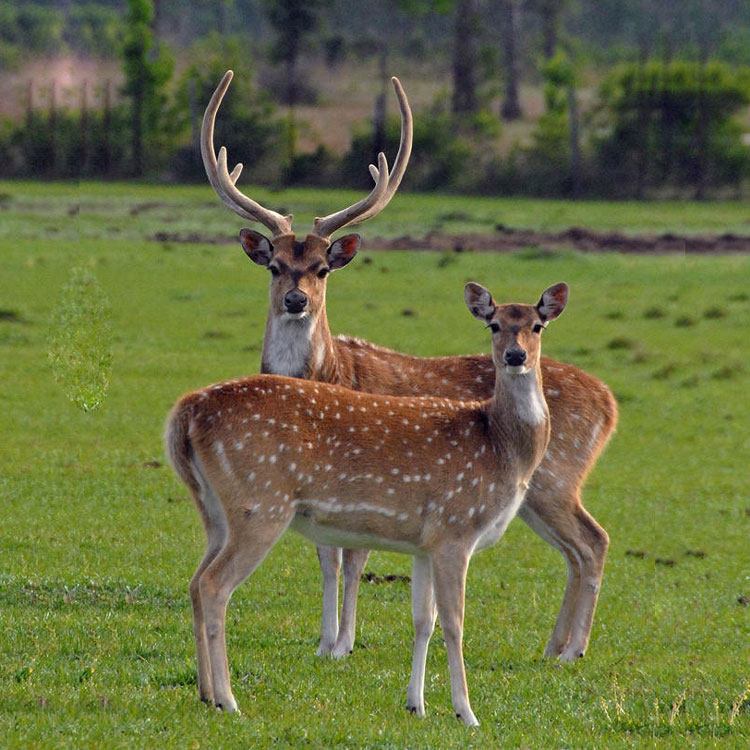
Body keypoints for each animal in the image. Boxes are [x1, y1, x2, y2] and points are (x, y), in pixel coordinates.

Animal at [167, 280, 572, 724]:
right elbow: (454, 623)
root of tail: (185, 411)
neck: (501, 448)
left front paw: (417, 704)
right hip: (260, 504)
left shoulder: (425, 544)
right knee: (214, 584)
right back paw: (228, 698)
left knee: (194, 582)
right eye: (494, 324)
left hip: (216, 511)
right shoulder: (456, 528)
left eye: (537, 326)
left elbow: (423, 621)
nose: (515, 356)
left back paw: (205, 693)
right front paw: (466, 713)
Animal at [201, 72, 616, 664]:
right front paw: (326, 640)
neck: (329, 373)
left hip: (557, 477)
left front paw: (343, 643)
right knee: (578, 547)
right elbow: (327, 553)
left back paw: (571, 650)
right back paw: (554, 647)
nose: (296, 300)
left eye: (322, 267)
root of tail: (609, 403)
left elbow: (351, 557)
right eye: (275, 265)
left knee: (593, 540)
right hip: (537, 492)